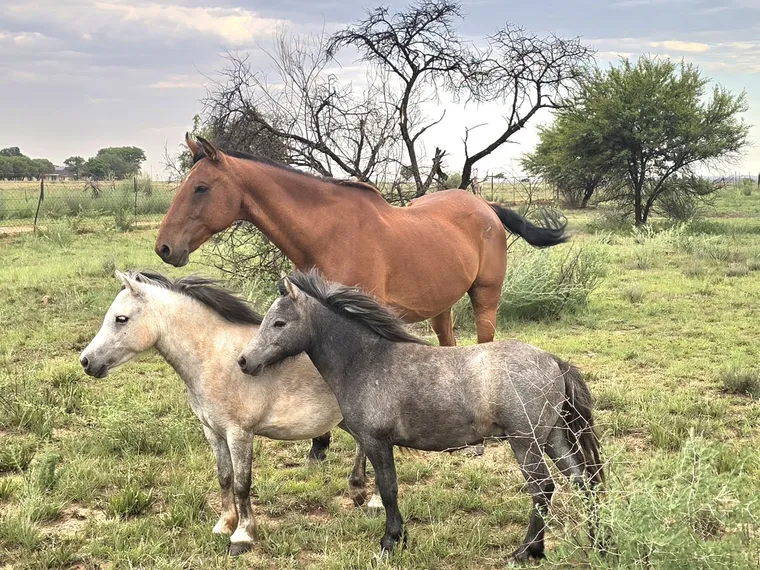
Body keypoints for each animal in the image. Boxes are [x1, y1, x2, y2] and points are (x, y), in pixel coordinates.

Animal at [78, 270, 378, 555]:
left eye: (121, 319)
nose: (86, 361)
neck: (214, 357)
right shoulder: (213, 432)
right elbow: (224, 477)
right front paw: (224, 525)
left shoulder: (239, 433)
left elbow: (242, 483)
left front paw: (243, 536)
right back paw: (358, 491)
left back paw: (373, 501)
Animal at [154, 134, 568, 347]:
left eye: (201, 188)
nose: (164, 247)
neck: (327, 233)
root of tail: (486, 206)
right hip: (442, 302)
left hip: (485, 295)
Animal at [237, 270, 603, 563]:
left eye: (279, 323)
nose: (244, 361)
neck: (366, 360)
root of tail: (555, 361)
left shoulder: (377, 442)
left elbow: (388, 489)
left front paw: (390, 541)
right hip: (553, 437)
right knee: (583, 482)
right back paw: (595, 544)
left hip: (526, 442)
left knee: (543, 489)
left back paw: (526, 551)